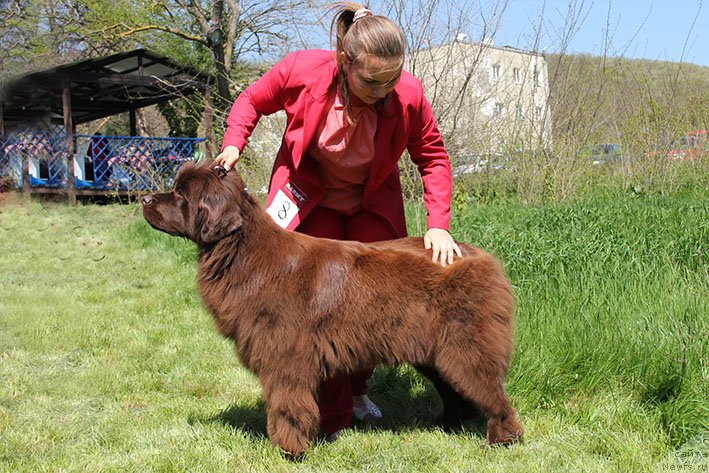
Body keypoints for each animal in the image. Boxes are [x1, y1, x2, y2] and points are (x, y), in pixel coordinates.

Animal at [142, 161, 520, 454]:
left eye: (181, 195)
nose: (144, 198)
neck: (242, 251)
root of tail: (484, 258)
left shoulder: (285, 357)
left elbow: (287, 404)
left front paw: (289, 449)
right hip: (435, 352)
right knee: (455, 391)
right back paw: (446, 425)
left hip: (464, 346)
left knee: (491, 392)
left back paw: (501, 438)